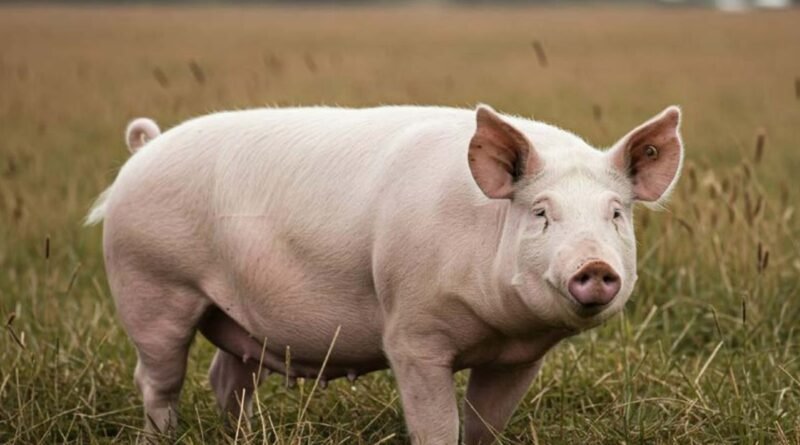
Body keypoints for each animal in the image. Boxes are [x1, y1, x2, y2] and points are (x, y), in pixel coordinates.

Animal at [86, 104, 683, 444]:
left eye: (615, 213)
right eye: (541, 212)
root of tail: (143, 151)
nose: (596, 267)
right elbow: (436, 427)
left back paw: (246, 436)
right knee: (158, 380)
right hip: (152, 285)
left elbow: (484, 425)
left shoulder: (520, 357)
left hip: (237, 316)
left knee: (226, 379)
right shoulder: (412, 335)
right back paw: (162, 436)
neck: (496, 329)